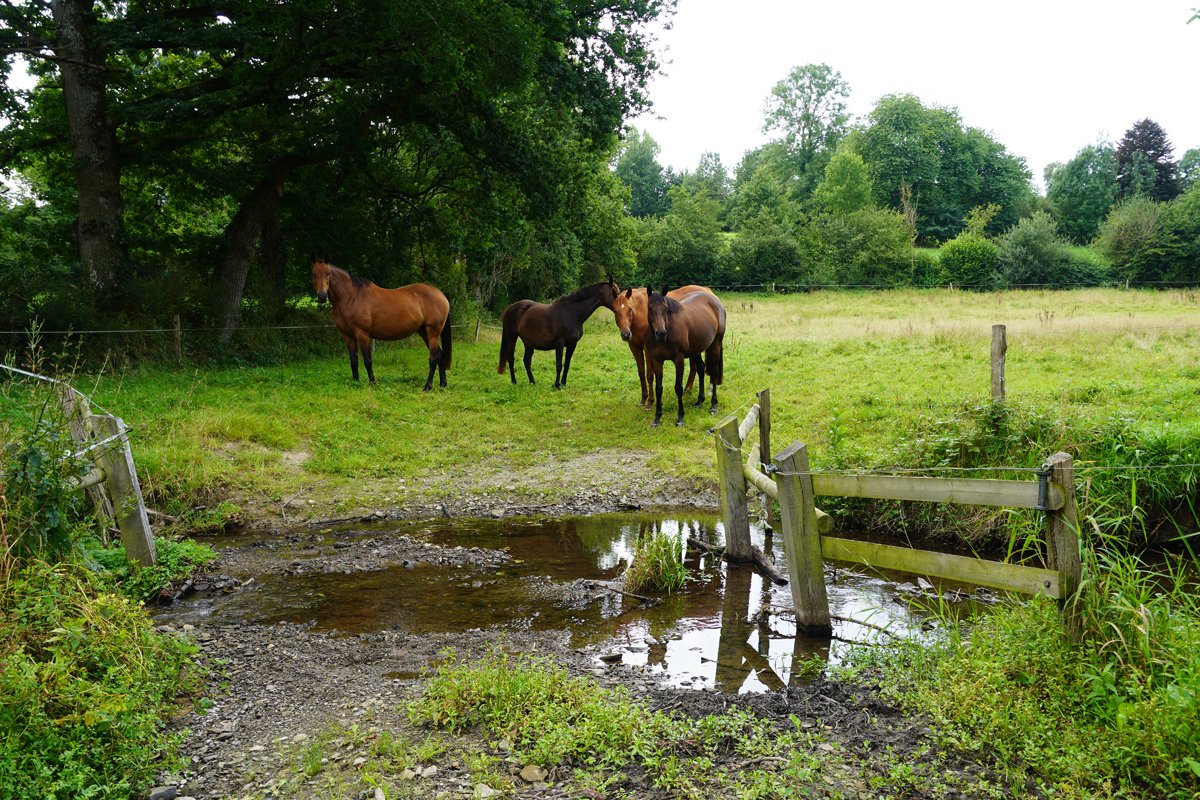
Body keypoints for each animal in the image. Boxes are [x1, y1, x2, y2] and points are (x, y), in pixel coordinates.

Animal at [311, 259, 452, 391]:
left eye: (328, 273)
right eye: (313, 273)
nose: (322, 296)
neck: (352, 297)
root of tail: (441, 295)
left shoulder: (362, 334)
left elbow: (367, 360)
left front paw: (373, 383)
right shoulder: (348, 336)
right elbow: (353, 361)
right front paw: (355, 382)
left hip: (433, 332)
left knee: (433, 358)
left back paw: (427, 387)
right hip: (424, 332)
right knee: (440, 356)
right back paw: (442, 385)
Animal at [645, 287, 726, 427]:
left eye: (666, 308)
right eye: (650, 307)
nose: (661, 333)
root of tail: (716, 301)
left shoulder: (679, 360)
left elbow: (678, 388)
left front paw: (680, 418)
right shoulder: (656, 361)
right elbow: (658, 388)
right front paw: (657, 418)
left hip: (715, 345)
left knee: (714, 374)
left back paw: (713, 405)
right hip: (696, 350)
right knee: (701, 369)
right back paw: (699, 401)